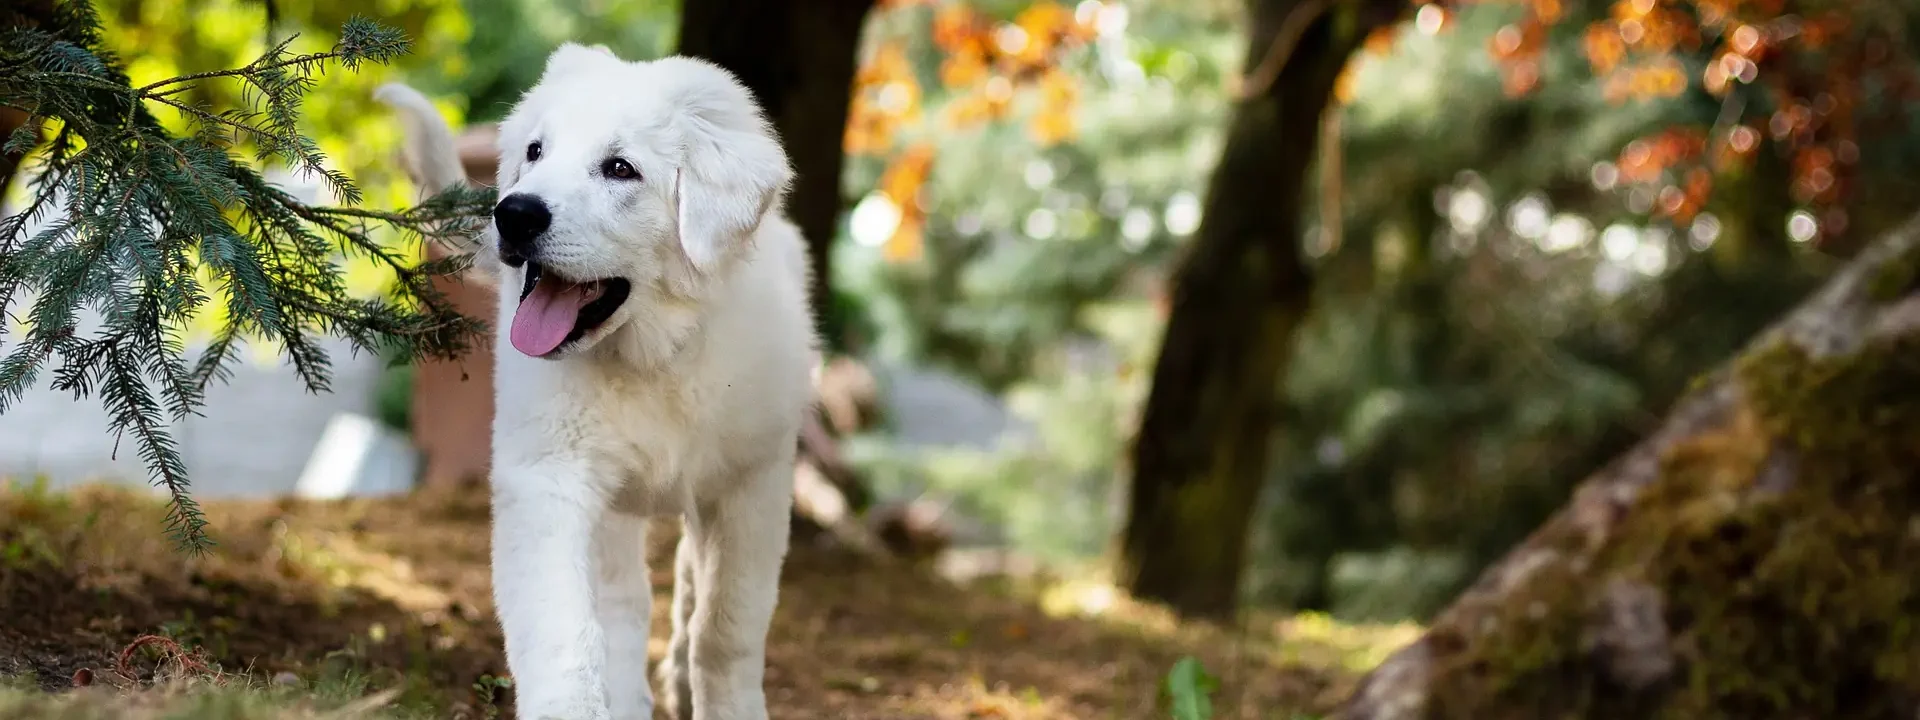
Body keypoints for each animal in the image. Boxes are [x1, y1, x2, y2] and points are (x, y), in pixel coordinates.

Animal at [378, 45, 814, 720]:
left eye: (619, 169)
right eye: (535, 151)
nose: (513, 213)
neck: (653, 356)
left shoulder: (753, 483)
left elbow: (727, 626)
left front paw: (728, 703)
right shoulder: (549, 477)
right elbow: (566, 630)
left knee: (686, 584)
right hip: (612, 507)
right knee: (624, 605)